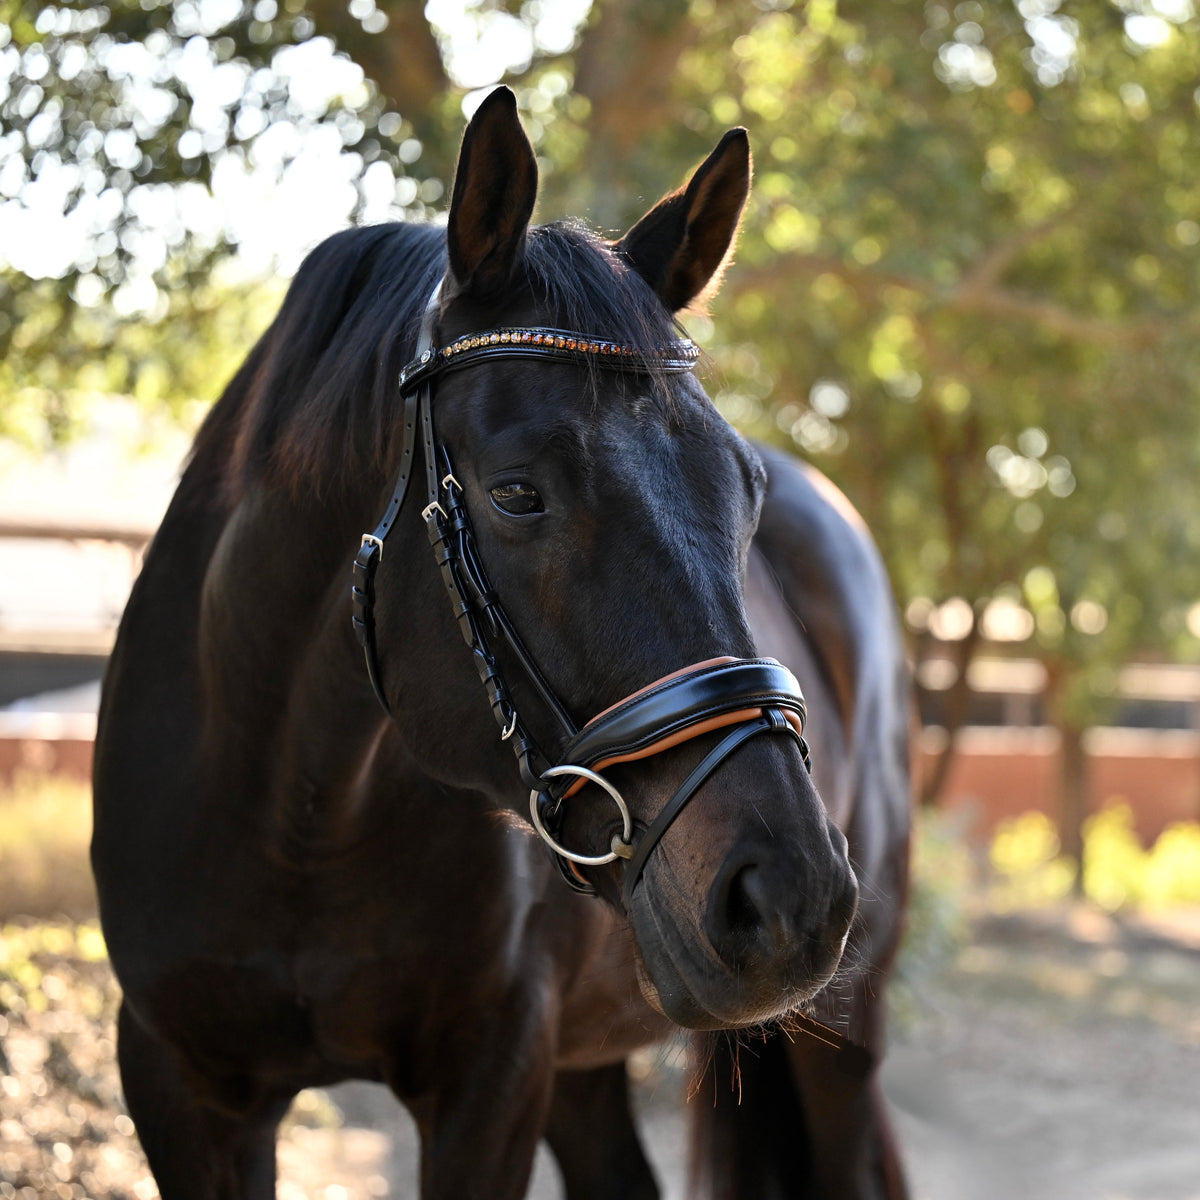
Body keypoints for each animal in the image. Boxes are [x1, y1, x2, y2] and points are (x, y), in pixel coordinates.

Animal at [91, 87, 907, 1200]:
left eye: (745, 488)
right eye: (517, 494)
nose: (789, 896)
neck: (296, 816)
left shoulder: (493, 1077)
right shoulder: (183, 1087)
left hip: (842, 1030)